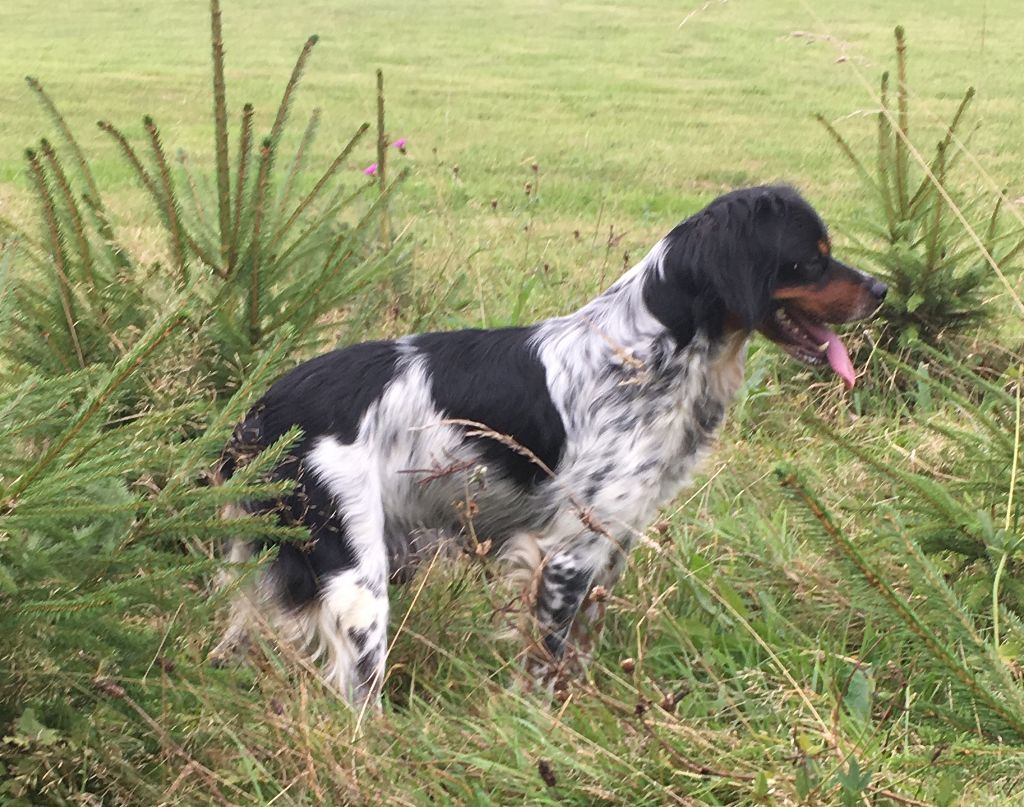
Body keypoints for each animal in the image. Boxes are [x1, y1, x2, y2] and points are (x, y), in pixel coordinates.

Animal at [209, 184, 888, 704]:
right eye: (812, 258)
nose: (882, 290)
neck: (648, 354)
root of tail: (261, 412)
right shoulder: (564, 554)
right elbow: (545, 666)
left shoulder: (612, 543)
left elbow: (578, 654)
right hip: (356, 575)